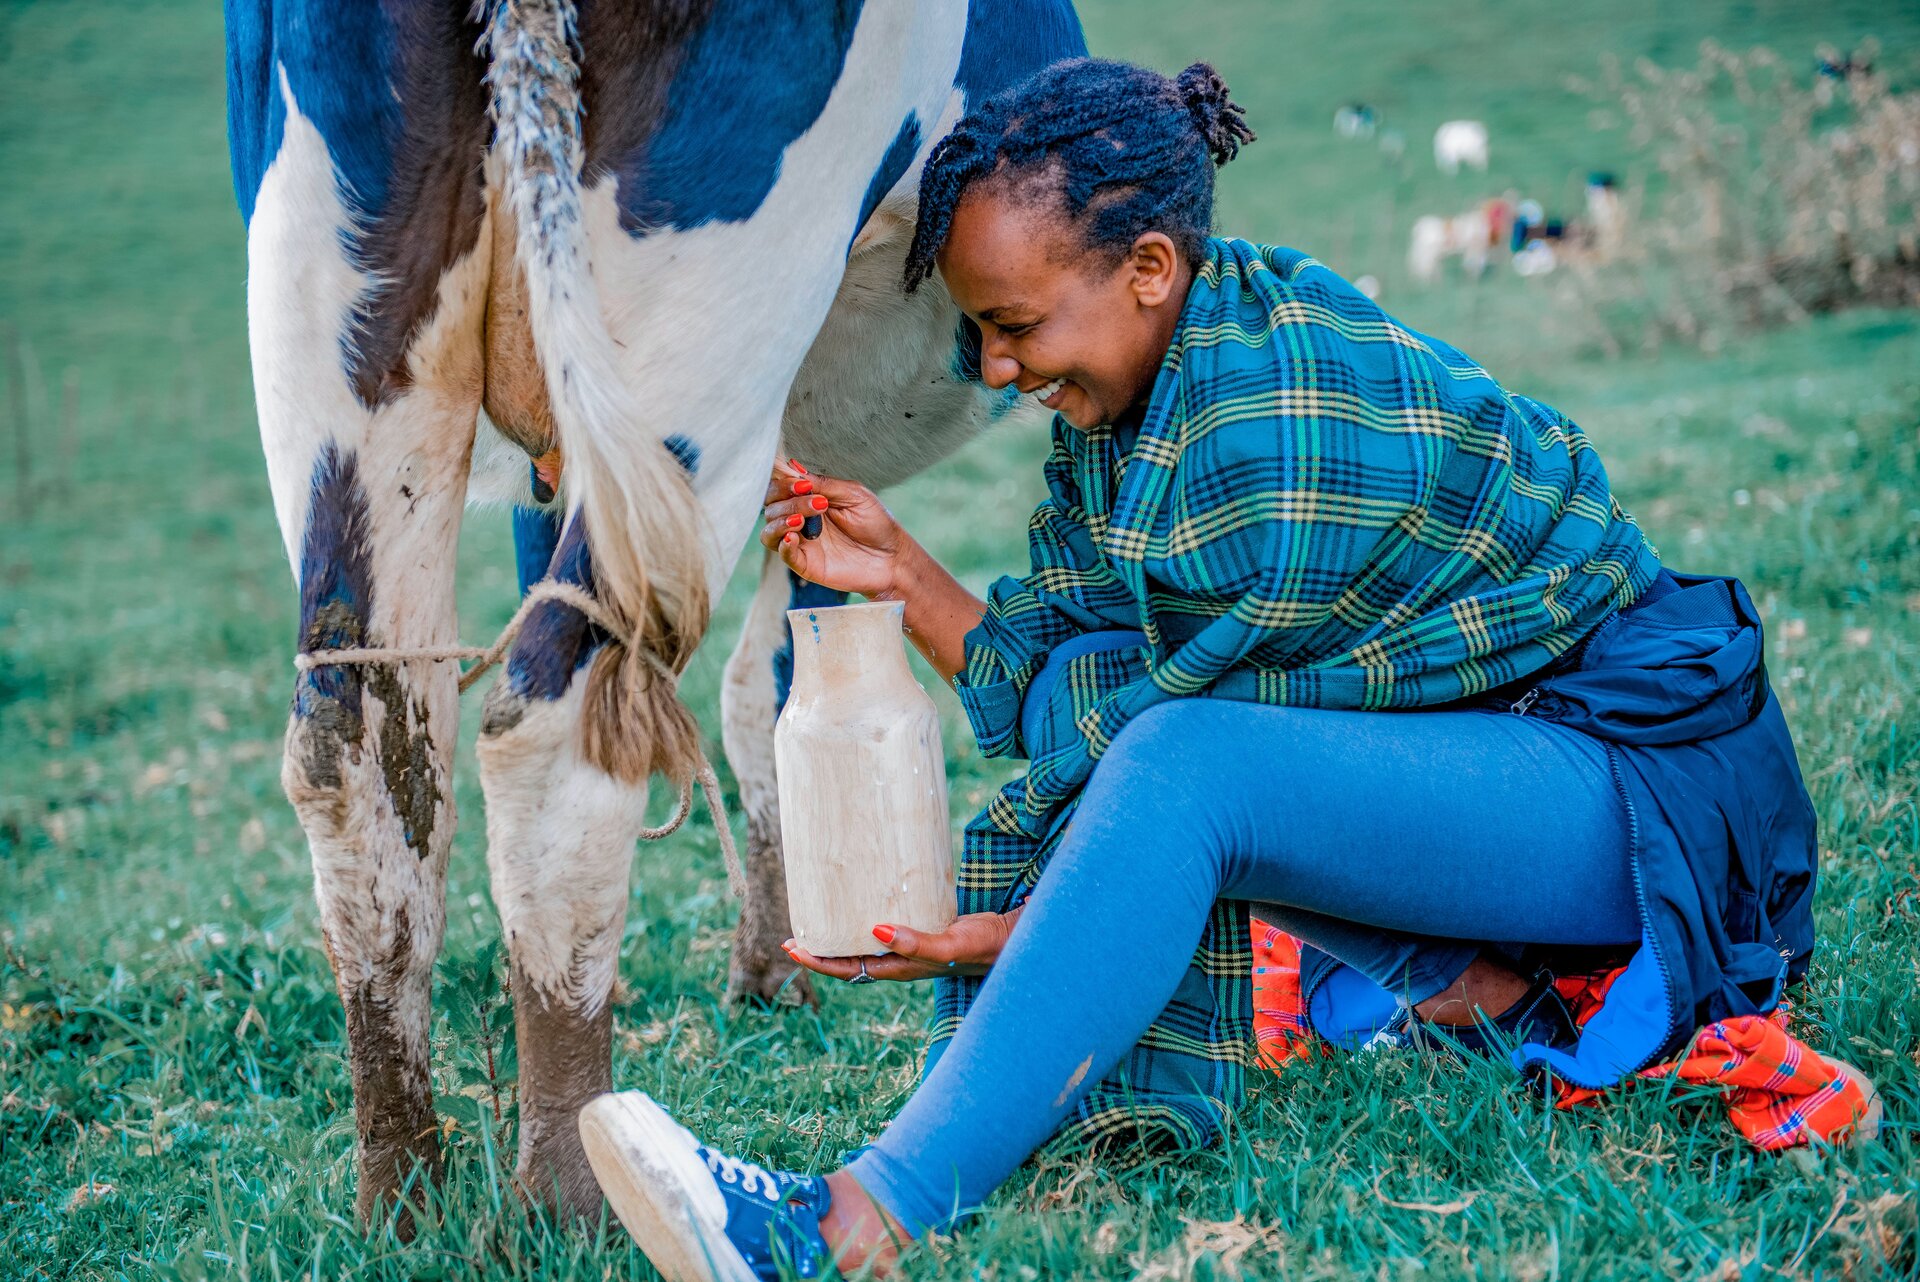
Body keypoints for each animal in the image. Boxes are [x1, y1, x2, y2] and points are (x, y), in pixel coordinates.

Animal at [222, 0, 1090, 1220]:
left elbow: (758, 690)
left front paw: (769, 964)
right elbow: (770, 688)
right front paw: (781, 966)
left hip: (342, 320)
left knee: (361, 744)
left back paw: (403, 1198)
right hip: (709, 328)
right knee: (552, 732)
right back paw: (571, 1191)